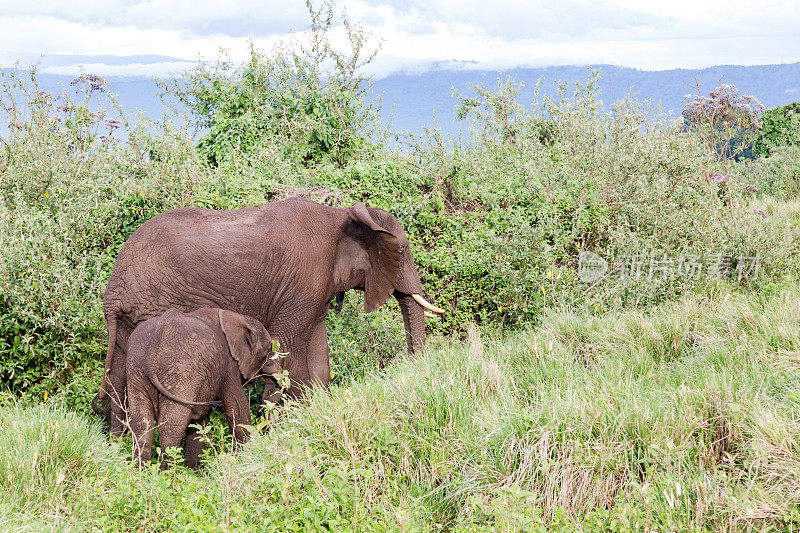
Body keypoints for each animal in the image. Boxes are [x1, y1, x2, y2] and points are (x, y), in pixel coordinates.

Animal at [95, 197, 444, 434]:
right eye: (402, 252)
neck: (341, 217)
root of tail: (112, 291)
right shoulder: (303, 281)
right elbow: (289, 353)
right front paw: (285, 427)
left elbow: (318, 360)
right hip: (155, 304)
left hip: (132, 319)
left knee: (120, 374)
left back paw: (119, 445)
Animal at [126, 306, 280, 468]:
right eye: (268, 348)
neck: (235, 317)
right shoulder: (228, 361)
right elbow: (236, 405)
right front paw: (250, 454)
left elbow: (198, 421)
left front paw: (195, 469)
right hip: (180, 371)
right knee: (172, 425)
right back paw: (168, 473)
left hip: (136, 370)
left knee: (142, 424)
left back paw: (141, 471)